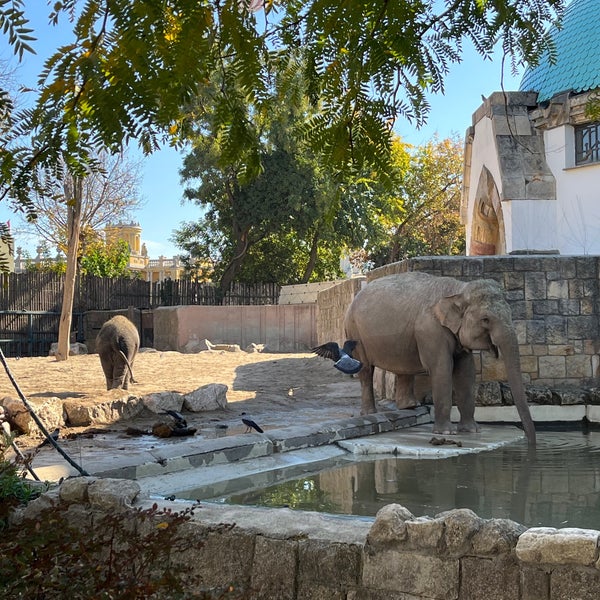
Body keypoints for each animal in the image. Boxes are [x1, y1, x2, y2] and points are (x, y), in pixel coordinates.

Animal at [344, 272, 536, 446]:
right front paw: (446, 433)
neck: (458, 290)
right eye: (485, 319)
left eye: (511, 313)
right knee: (365, 369)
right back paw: (369, 413)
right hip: (355, 332)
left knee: (402, 368)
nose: (531, 442)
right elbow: (442, 368)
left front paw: (472, 430)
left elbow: (466, 371)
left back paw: (410, 407)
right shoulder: (430, 330)